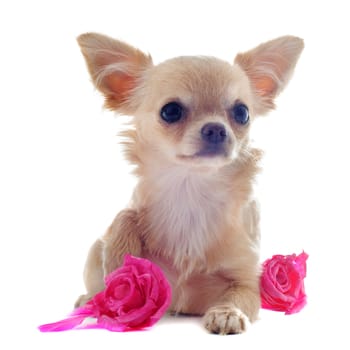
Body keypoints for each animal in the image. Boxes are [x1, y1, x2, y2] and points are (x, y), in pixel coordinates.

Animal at [76, 34, 304, 334]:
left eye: (242, 113)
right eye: (170, 111)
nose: (216, 129)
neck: (192, 189)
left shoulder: (246, 281)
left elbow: (239, 295)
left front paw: (228, 313)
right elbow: (125, 218)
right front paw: (119, 256)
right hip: (93, 253)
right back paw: (87, 298)